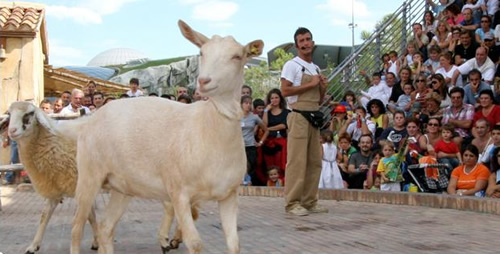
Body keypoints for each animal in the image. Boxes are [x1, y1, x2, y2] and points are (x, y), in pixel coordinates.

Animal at [0, 101, 99, 254]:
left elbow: (89, 216)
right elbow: (44, 216)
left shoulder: (80, 186)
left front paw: (97, 241)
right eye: (9, 114)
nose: (12, 131)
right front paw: (33, 246)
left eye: (30, 113)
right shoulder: (54, 187)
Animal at [66, 20, 266, 254]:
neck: (207, 128)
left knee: (106, 227)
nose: (204, 81)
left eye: (237, 56)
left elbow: (234, 244)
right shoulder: (178, 191)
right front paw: (172, 241)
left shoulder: (229, 194)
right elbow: (195, 243)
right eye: (202, 52)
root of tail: (90, 120)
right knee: (76, 226)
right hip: (89, 174)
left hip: (122, 185)